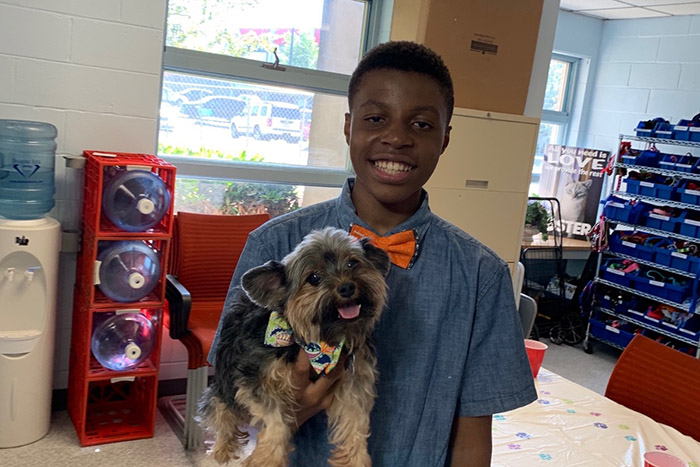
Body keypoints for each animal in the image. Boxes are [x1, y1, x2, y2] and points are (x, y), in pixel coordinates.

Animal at [200, 229, 392, 466]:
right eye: (314, 278)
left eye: (352, 263)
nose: (346, 287)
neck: (321, 342)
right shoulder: (257, 380)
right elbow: (277, 422)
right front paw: (268, 460)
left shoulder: (354, 382)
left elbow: (355, 423)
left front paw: (356, 460)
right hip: (223, 383)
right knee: (223, 412)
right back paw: (222, 449)